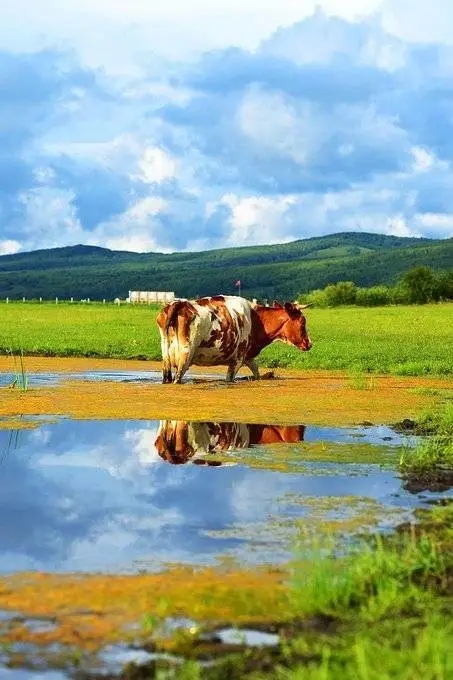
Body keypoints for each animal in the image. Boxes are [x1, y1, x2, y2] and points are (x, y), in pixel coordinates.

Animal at [155, 294, 310, 386]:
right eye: (303, 322)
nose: (309, 343)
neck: (256, 319)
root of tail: (179, 303)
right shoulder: (238, 359)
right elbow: (230, 378)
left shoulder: (248, 356)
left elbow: (256, 372)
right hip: (185, 356)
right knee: (177, 379)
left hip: (166, 358)